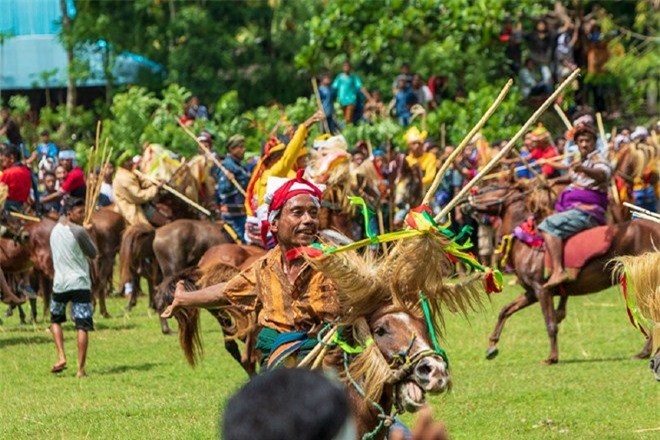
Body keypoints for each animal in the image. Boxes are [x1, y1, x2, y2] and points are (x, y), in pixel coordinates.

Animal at [470, 184, 660, 362]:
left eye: (491, 187)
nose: (469, 198)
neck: (525, 243)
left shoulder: (542, 289)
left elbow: (550, 323)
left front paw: (552, 357)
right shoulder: (532, 292)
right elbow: (505, 310)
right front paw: (492, 346)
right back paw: (644, 352)